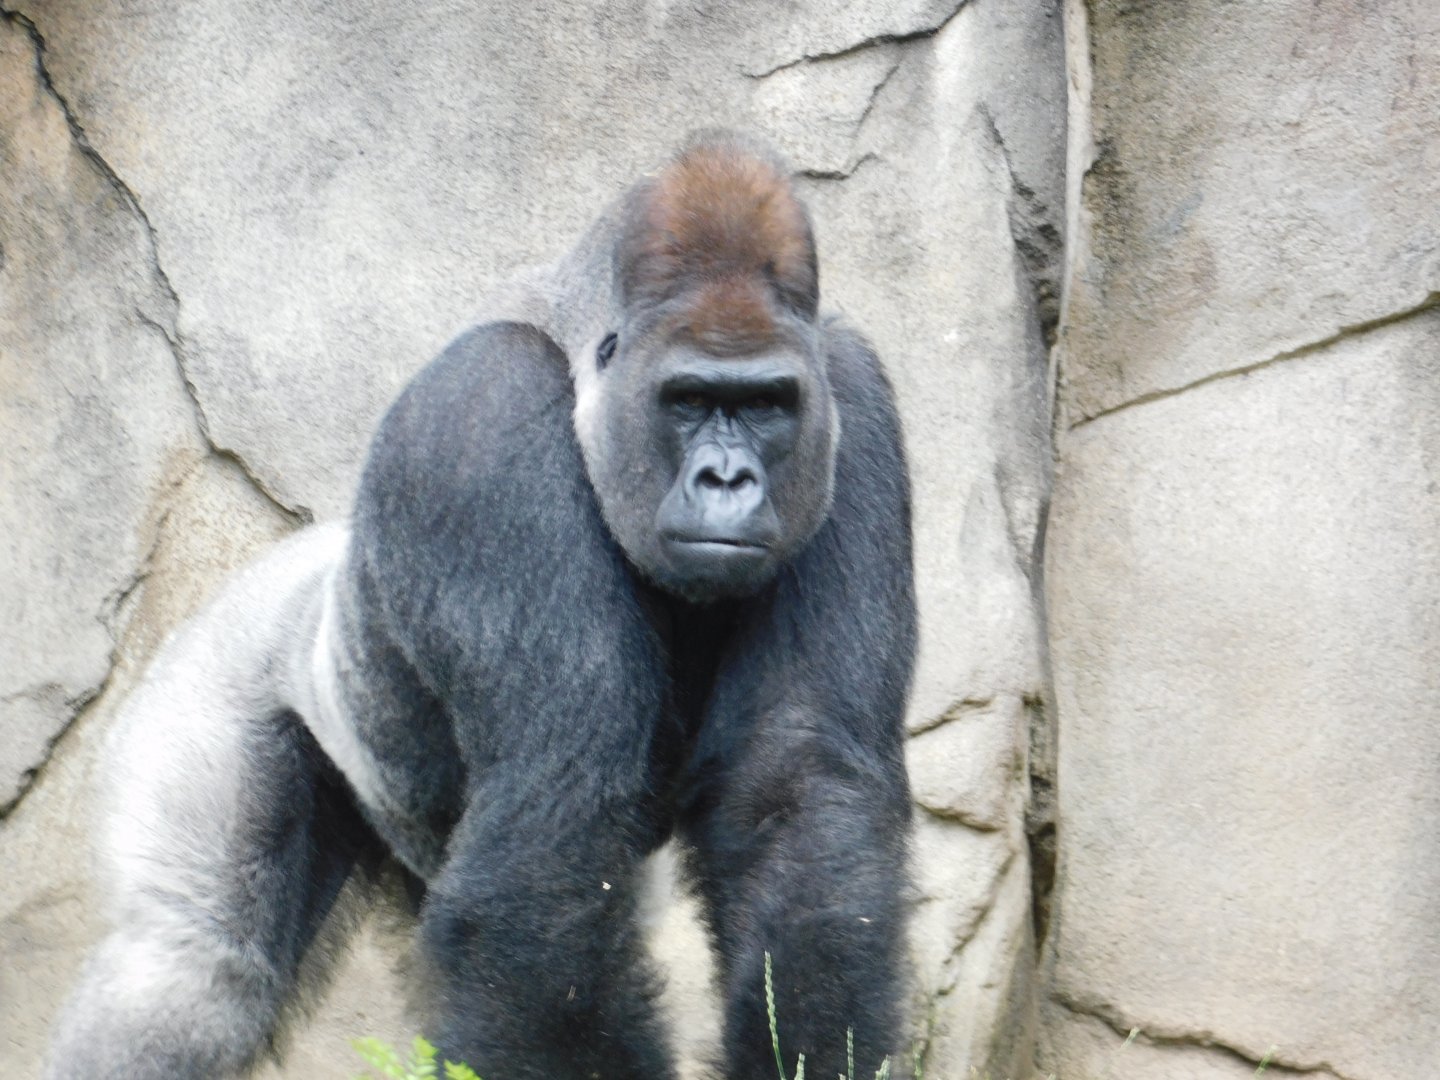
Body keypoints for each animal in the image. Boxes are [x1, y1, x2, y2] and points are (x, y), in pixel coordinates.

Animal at [47, 132, 916, 1080]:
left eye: (765, 405)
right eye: (688, 400)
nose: (730, 479)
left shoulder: (851, 397)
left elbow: (796, 791)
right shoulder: (484, 412)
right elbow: (553, 834)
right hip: (210, 677)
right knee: (190, 972)